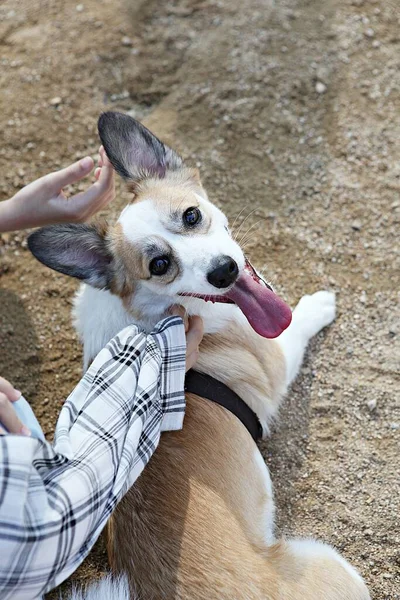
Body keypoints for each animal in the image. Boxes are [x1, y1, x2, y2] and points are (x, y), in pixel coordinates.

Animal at [28, 113, 372, 600]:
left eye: (191, 216)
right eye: (159, 265)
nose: (224, 270)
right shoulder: (274, 358)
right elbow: (296, 327)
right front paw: (319, 305)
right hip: (330, 561)